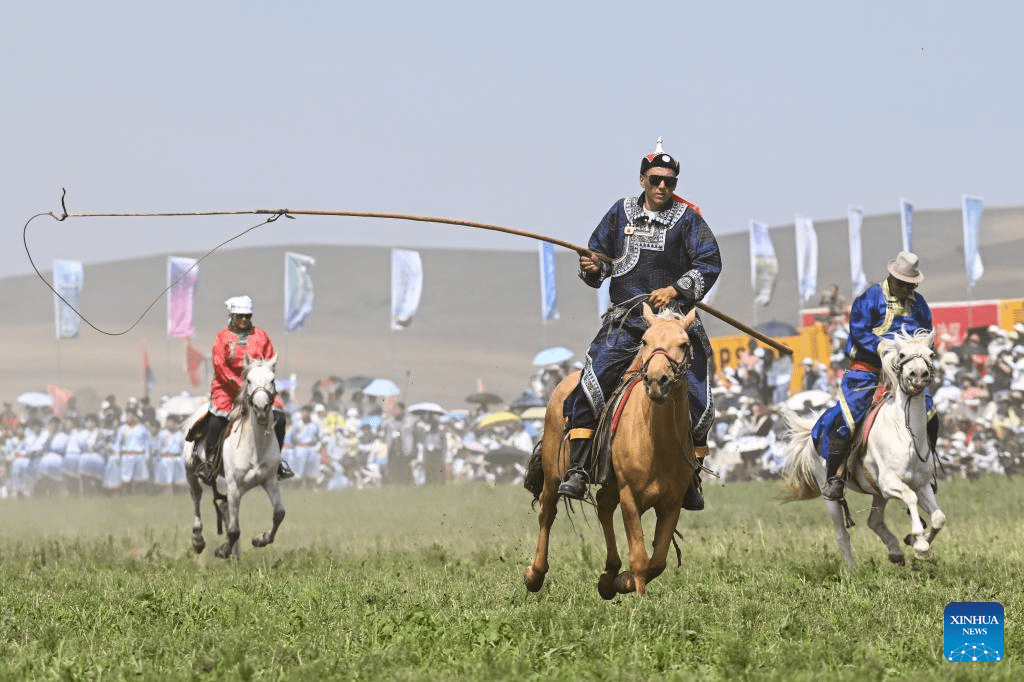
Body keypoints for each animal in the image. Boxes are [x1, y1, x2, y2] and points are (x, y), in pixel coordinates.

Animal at [182, 356, 286, 557]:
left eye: (272, 380)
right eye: (249, 380)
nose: (261, 407)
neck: (255, 446)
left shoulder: (269, 480)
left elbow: (279, 514)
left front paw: (260, 539)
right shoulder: (234, 485)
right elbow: (233, 530)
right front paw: (222, 550)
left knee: (223, 505)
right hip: (191, 470)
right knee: (196, 496)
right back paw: (198, 540)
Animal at [524, 303, 700, 593]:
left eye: (684, 344)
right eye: (645, 341)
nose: (657, 380)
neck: (658, 443)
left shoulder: (672, 502)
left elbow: (657, 561)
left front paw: (621, 580)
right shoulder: (630, 495)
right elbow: (640, 558)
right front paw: (634, 591)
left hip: (611, 482)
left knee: (604, 506)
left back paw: (609, 575)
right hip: (554, 474)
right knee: (547, 513)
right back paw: (534, 575)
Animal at [782, 327, 942, 565]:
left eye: (930, 355)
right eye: (902, 354)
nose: (919, 375)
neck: (905, 435)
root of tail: (814, 430)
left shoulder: (921, 484)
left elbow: (939, 518)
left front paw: (916, 545)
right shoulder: (889, 482)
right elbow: (910, 497)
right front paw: (919, 543)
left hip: (877, 492)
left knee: (874, 521)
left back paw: (895, 552)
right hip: (830, 494)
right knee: (842, 534)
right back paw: (853, 569)